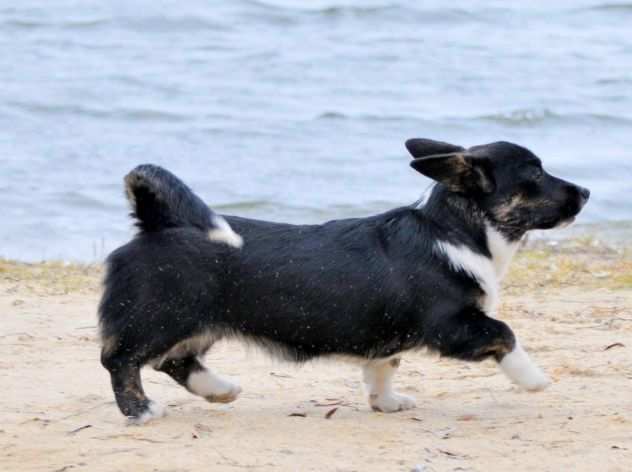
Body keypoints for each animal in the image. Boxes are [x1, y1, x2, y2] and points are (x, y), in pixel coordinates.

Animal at [97, 138, 588, 422]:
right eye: (535, 173)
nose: (585, 192)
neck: (456, 229)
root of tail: (156, 223)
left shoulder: (393, 338)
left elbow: (384, 368)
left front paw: (387, 404)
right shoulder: (452, 324)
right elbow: (505, 334)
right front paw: (535, 379)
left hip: (198, 324)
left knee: (174, 362)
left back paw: (220, 390)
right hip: (162, 318)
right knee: (121, 360)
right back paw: (141, 410)